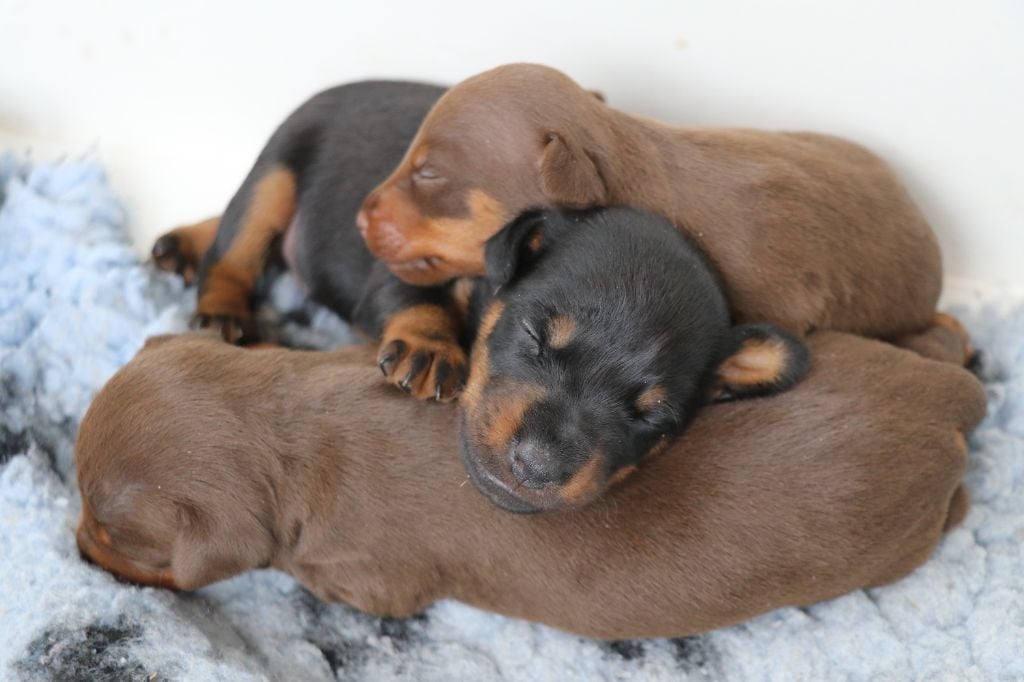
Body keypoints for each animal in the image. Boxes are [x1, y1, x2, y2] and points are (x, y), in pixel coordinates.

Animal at [74, 327, 983, 638]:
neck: (285, 424)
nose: (73, 545)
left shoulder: (372, 579)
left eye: (115, 535)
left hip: (899, 539)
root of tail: (948, 404)